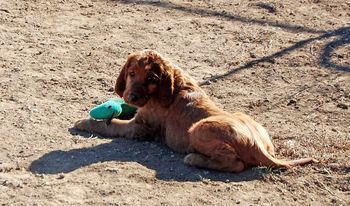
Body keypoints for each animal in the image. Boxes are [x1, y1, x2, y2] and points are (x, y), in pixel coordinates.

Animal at [75, 50, 318, 172]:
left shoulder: (140, 128)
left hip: (199, 129)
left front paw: (84, 122)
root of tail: (258, 146)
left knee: (236, 164)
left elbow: (111, 126)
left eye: (151, 79)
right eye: (131, 73)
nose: (131, 97)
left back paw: (195, 159)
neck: (172, 85)